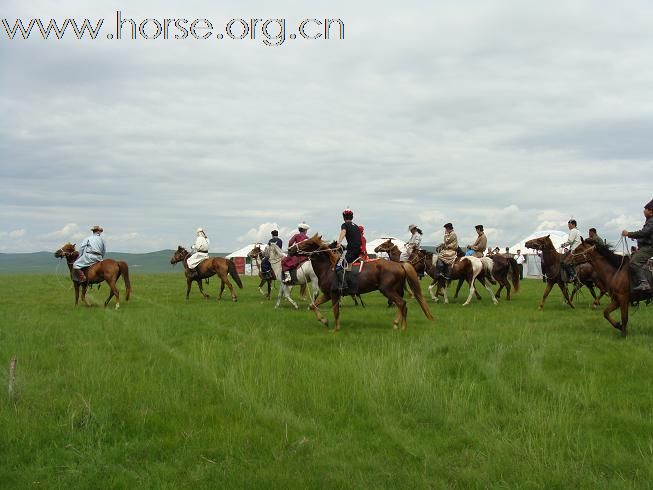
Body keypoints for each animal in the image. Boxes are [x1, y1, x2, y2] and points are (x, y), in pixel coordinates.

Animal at [286, 234, 432, 334]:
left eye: (308, 243)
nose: (290, 249)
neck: (328, 268)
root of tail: (400, 265)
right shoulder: (327, 294)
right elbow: (313, 306)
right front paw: (324, 321)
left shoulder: (334, 294)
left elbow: (336, 311)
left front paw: (336, 329)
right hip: (395, 290)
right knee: (402, 305)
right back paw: (399, 324)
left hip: (388, 290)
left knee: (401, 304)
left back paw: (401, 326)